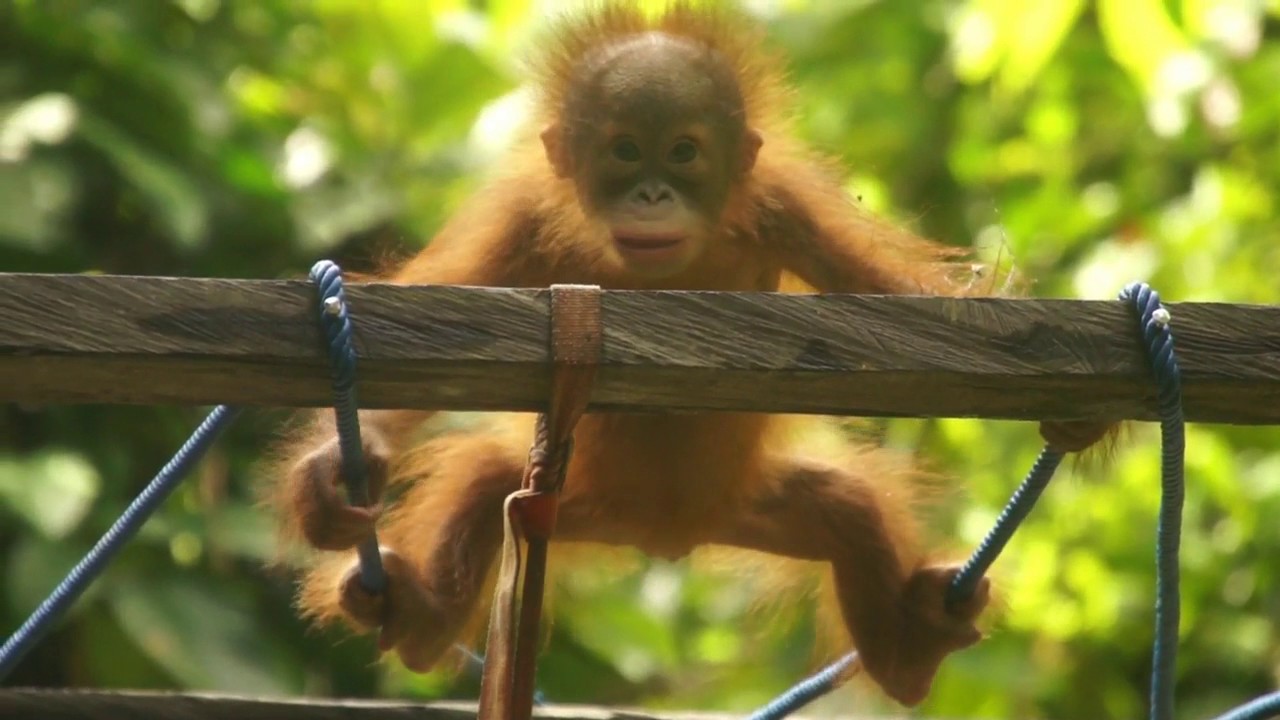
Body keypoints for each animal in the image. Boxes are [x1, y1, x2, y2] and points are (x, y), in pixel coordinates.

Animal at [270, 2, 1113, 708]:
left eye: (683, 152)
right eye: (623, 151)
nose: (651, 195)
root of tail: (666, 534)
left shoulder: (786, 206)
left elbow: (908, 311)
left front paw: (1075, 417)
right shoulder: (522, 220)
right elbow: (429, 337)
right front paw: (334, 471)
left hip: (757, 503)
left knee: (848, 507)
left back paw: (909, 654)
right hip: (579, 503)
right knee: (481, 483)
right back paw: (417, 622)